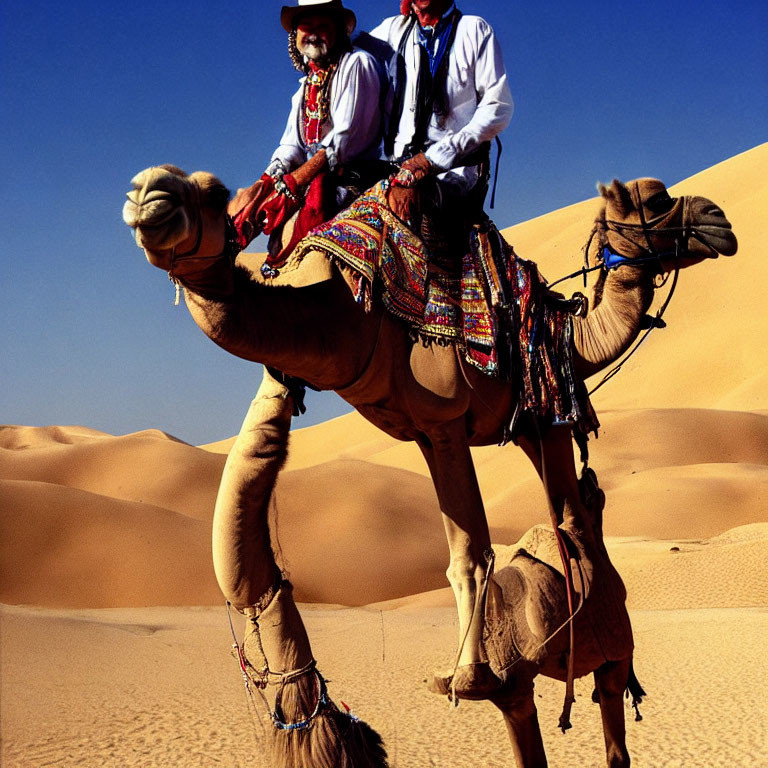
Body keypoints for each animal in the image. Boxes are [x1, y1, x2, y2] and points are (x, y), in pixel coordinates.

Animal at [123, 164, 736, 760]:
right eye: (658, 202)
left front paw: (469, 674)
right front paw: (471, 672)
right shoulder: (443, 425)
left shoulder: (478, 415)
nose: (718, 219)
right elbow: (474, 552)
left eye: (215, 193)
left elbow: (482, 548)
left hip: (613, 660)